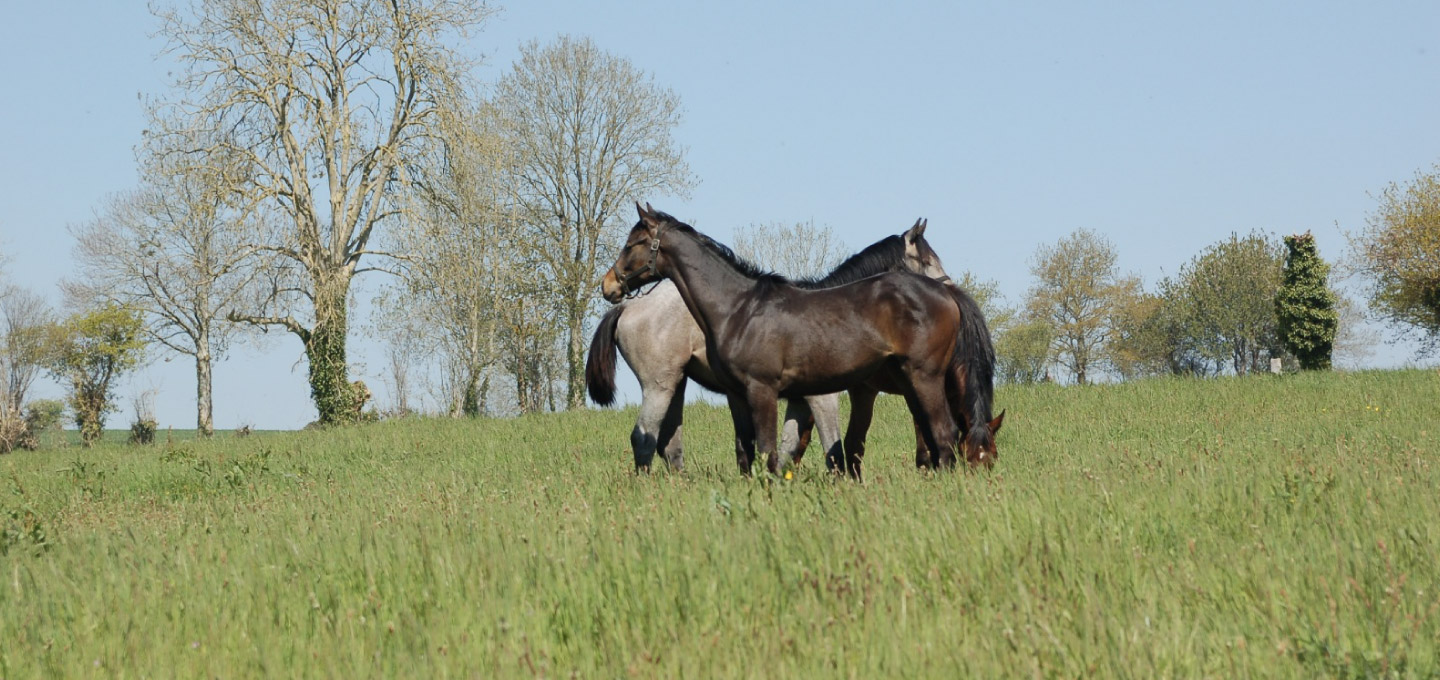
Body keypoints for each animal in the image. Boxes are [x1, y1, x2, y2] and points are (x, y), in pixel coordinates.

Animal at [601, 204, 984, 481]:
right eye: (927, 259)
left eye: (632, 244)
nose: (609, 285)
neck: (739, 307)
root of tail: (946, 296)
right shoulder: (745, 395)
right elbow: (753, 451)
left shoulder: (766, 390)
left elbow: (774, 451)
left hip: (924, 377)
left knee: (944, 433)